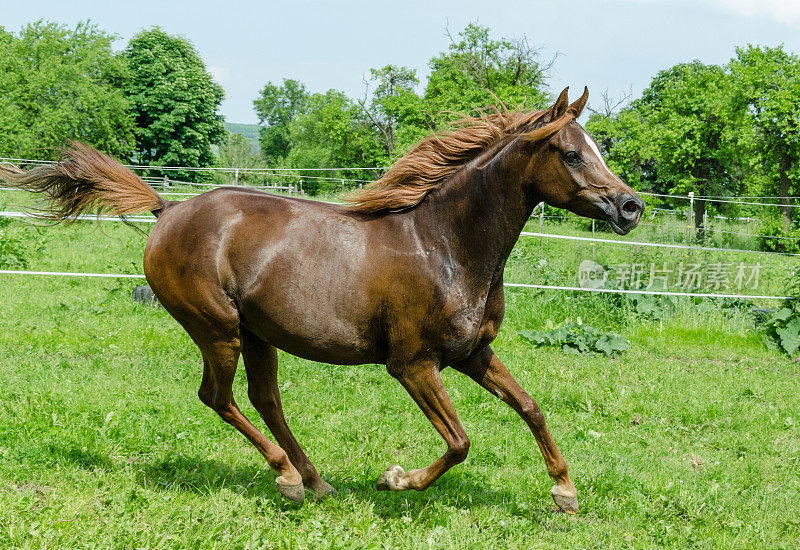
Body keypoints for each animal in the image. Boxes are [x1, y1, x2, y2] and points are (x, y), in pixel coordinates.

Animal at [0, 86, 644, 512]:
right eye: (571, 153)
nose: (631, 207)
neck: (444, 245)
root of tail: (167, 210)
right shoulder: (413, 365)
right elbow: (460, 442)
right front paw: (394, 479)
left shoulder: (472, 354)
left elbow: (530, 406)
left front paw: (564, 491)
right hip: (218, 329)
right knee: (219, 397)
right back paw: (288, 477)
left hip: (257, 334)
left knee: (264, 400)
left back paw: (313, 480)